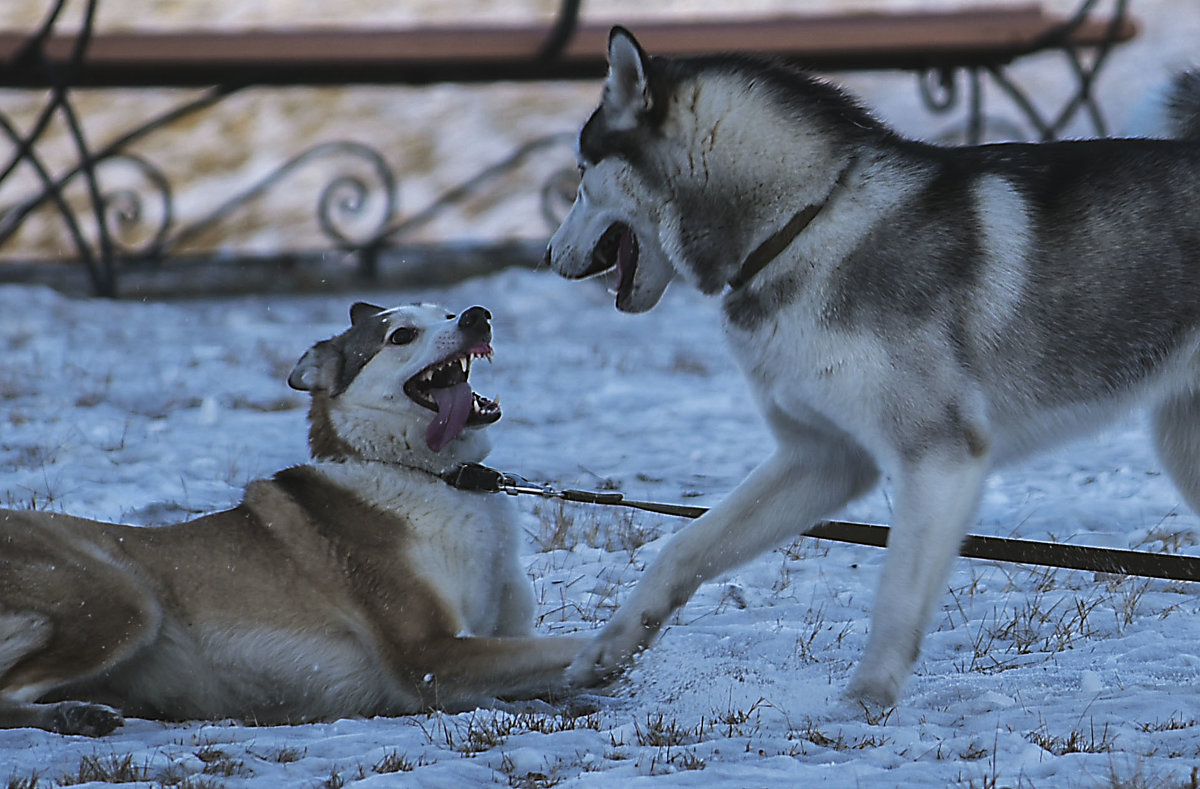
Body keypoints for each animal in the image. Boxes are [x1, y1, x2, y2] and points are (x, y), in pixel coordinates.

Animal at [0, 299, 583, 729]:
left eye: (447, 312)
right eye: (401, 336)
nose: (477, 315)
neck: (432, 477)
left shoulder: (501, 636)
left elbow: (541, 665)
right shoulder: (429, 655)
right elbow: (563, 650)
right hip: (123, 598)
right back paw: (77, 716)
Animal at [549, 29, 1200, 705]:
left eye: (580, 174)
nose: (548, 255)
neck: (805, 221)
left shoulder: (939, 457)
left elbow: (897, 597)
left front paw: (866, 700)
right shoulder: (824, 456)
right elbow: (683, 546)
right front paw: (607, 653)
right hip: (1183, 445)